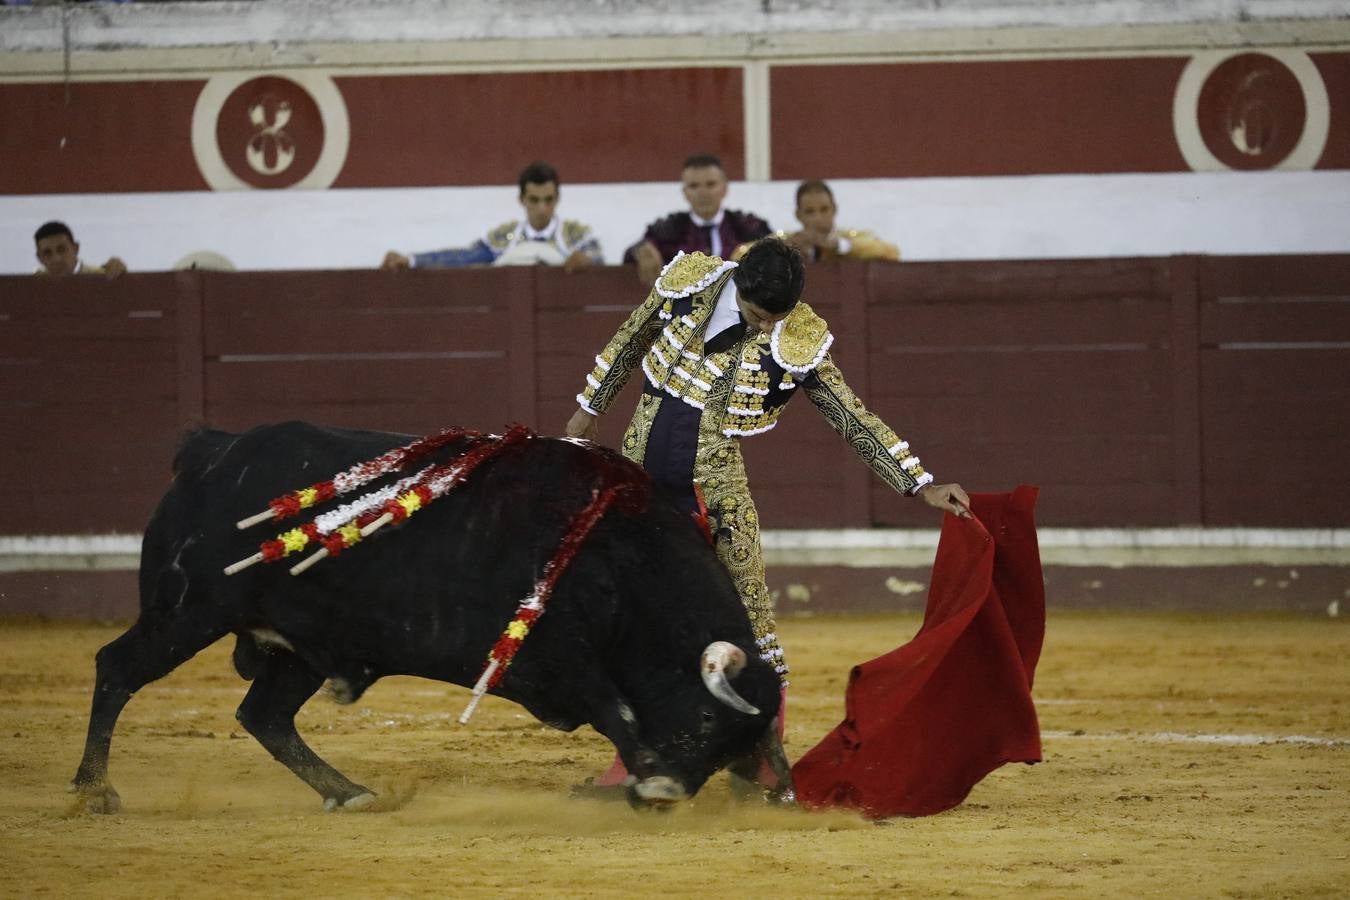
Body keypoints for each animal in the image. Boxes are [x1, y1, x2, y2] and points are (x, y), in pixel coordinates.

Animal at [71, 426, 788, 814]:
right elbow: (619, 711)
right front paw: (643, 771)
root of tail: (212, 454)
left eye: (731, 749)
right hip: (188, 611)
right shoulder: (562, 659)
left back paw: (349, 792)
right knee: (117, 669)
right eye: (705, 720)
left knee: (264, 716)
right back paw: (92, 792)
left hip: (297, 647)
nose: (666, 794)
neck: (622, 560)